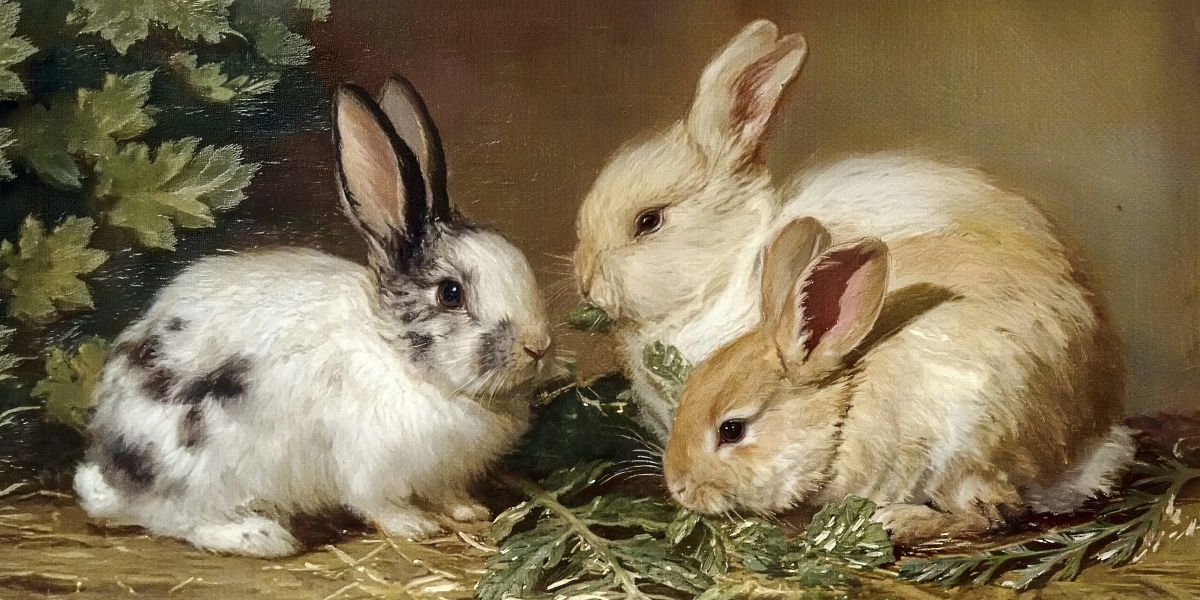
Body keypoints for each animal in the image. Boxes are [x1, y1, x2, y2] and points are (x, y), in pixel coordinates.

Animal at [72, 76, 554, 558]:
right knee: (177, 517)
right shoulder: (370, 465)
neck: (401, 359)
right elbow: (379, 504)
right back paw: (260, 536)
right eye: (450, 294)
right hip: (203, 467)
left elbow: (446, 493)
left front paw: (469, 511)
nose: (538, 347)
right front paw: (415, 526)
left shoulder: (441, 472)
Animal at [661, 219, 1134, 545]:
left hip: (967, 450)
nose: (678, 488)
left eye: (732, 430)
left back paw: (894, 521)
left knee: (992, 516)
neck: (844, 411)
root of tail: (1091, 439)